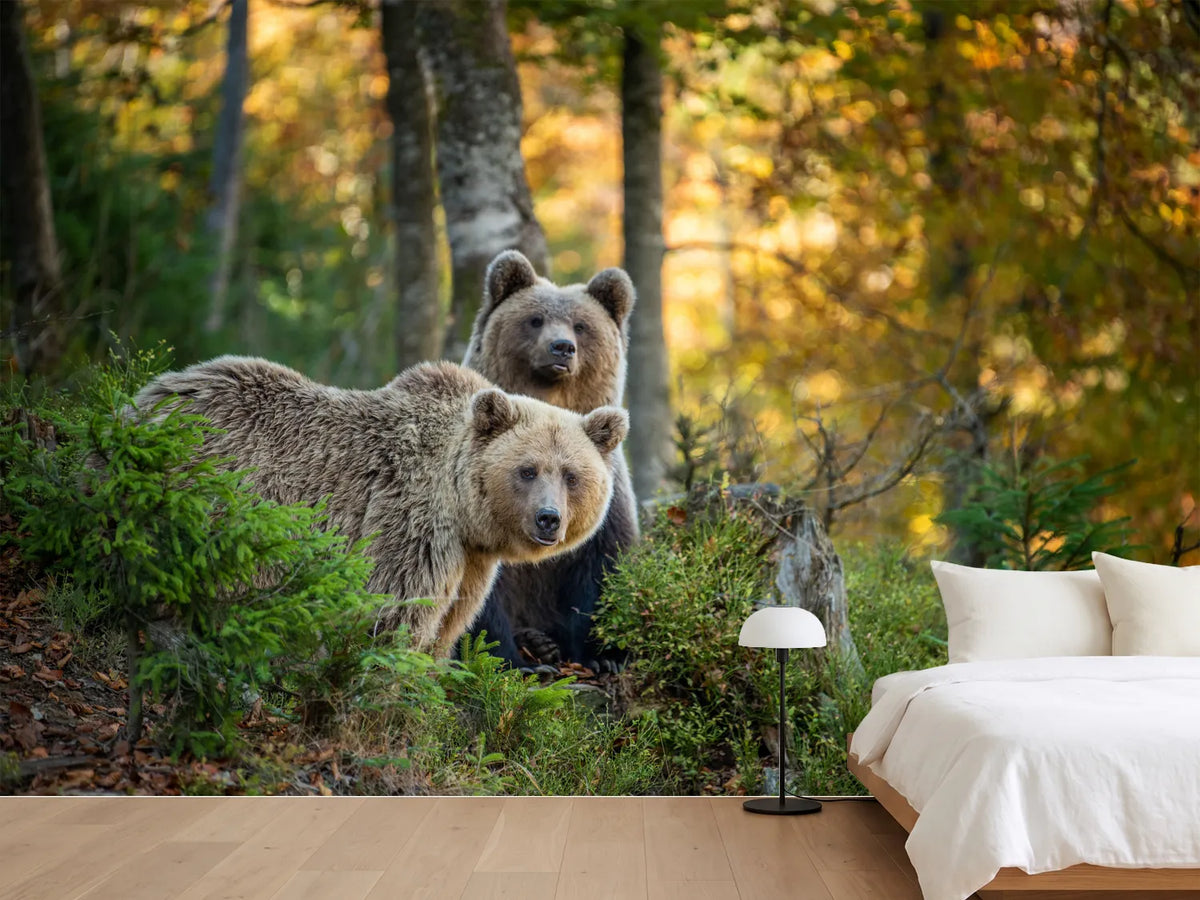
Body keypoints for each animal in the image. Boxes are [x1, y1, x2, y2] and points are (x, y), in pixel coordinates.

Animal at [134, 356, 629, 658]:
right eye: (527, 470)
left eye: (571, 475)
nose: (549, 519)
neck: (463, 509)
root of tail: (146, 400)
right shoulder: (411, 521)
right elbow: (396, 610)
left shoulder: (470, 561)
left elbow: (451, 621)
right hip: (213, 495)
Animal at [461, 249, 639, 670]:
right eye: (535, 319)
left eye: (581, 325)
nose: (562, 347)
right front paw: (511, 660)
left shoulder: (607, 494)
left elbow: (603, 565)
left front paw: (603, 656)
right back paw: (536, 645)